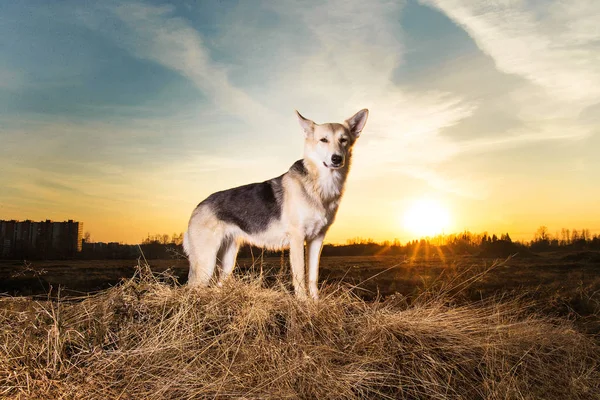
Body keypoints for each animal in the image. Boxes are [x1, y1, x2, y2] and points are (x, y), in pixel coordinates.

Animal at [183, 109, 368, 300]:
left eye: (343, 140)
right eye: (323, 140)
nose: (336, 159)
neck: (320, 185)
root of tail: (198, 206)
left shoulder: (317, 239)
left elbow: (313, 277)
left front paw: (315, 302)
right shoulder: (297, 239)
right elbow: (300, 276)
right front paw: (302, 302)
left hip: (227, 262)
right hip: (207, 262)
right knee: (193, 288)